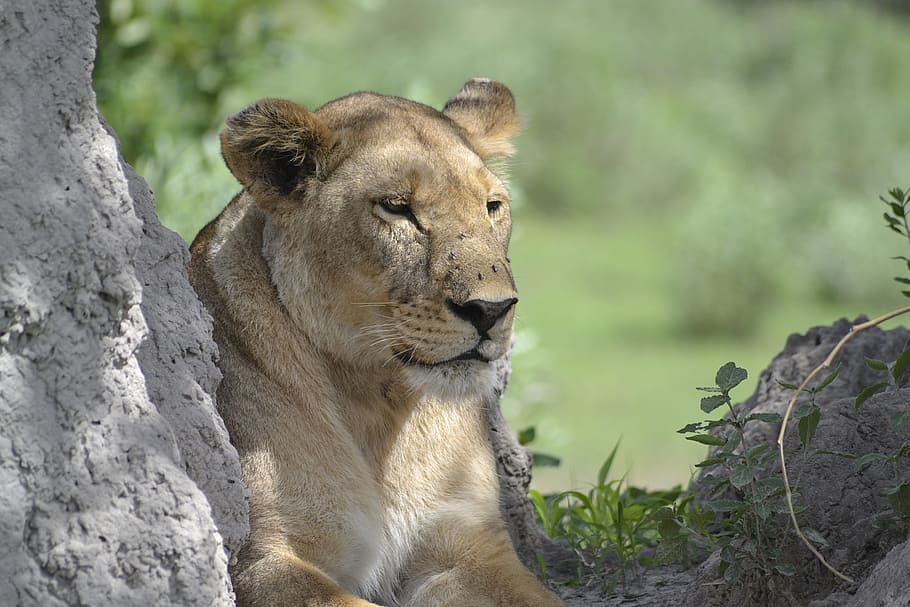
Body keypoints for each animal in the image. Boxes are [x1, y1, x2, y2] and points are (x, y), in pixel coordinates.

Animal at [188, 78, 564, 607]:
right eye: (397, 208)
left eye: (492, 206)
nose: (491, 310)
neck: (378, 398)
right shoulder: (260, 560)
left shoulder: (472, 547)